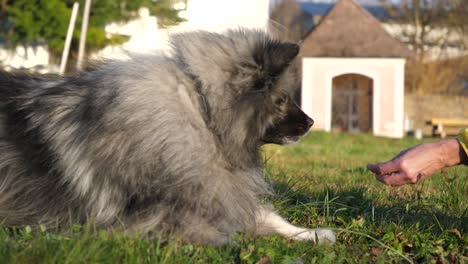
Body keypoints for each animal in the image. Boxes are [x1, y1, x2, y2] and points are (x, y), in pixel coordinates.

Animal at [0, 28, 336, 245]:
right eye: (282, 100)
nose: (311, 122)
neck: (202, 113)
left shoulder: (213, 190)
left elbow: (267, 216)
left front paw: (312, 234)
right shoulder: (159, 215)